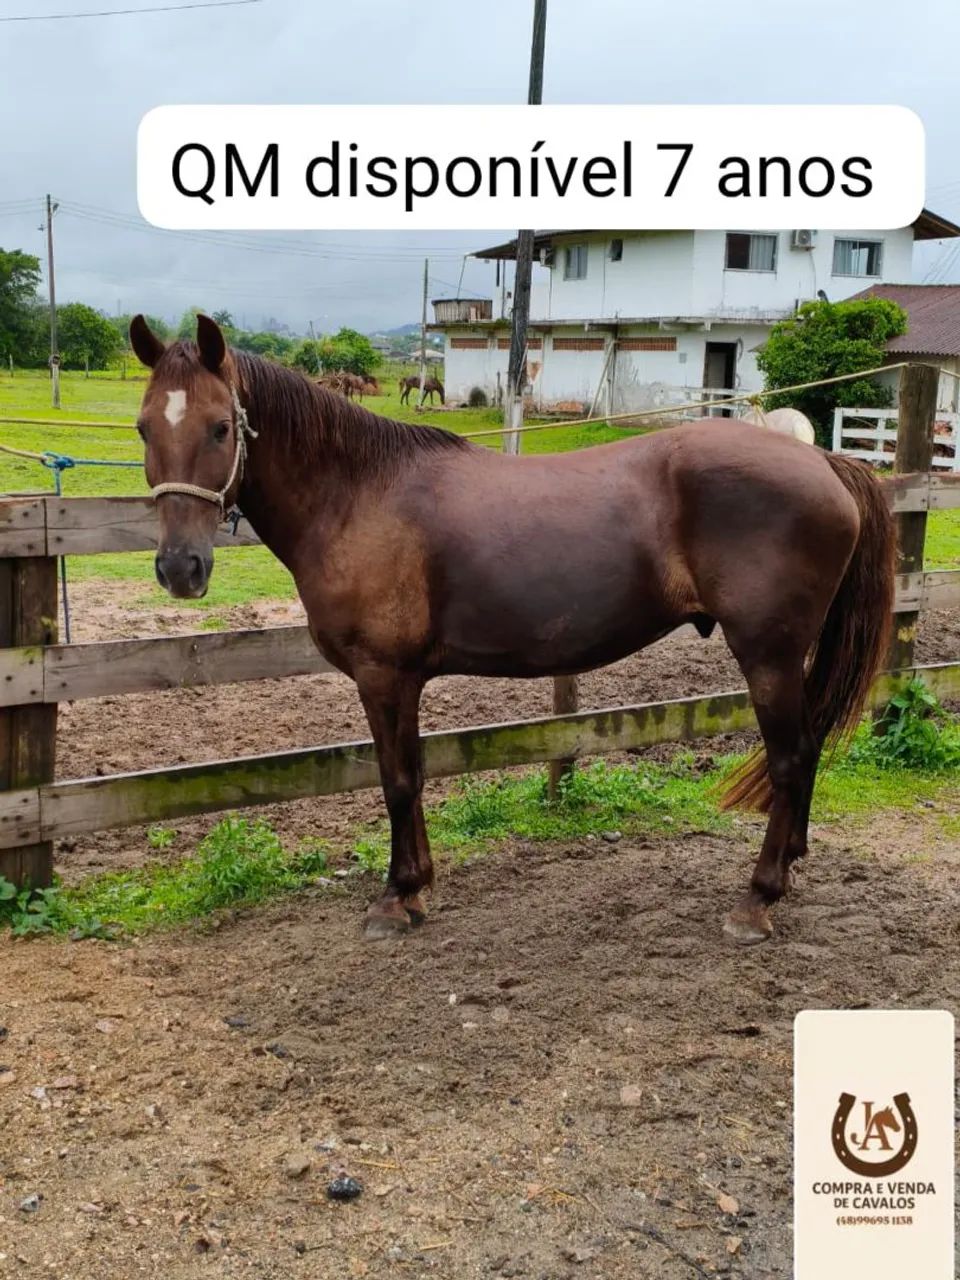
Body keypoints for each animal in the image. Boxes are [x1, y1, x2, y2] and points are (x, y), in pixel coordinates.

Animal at [130, 314, 895, 946]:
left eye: (221, 427)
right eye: (144, 428)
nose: (180, 567)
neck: (357, 494)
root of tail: (825, 460)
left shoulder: (383, 676)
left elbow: (396, 780)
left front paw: (395, 897)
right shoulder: (404, 680)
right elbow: (413, 772)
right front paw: (418, 887)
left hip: (768, 654)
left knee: (792, 759)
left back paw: (757, 899)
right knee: (806, 752)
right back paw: (788, 869)